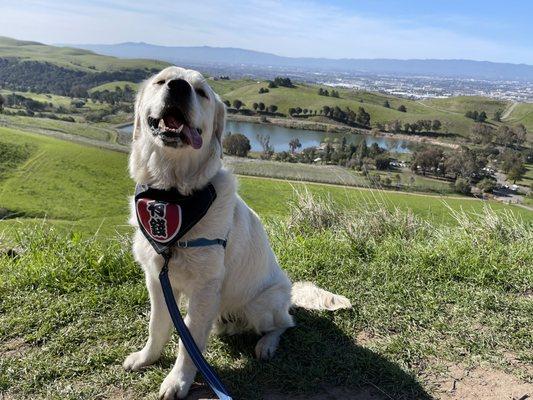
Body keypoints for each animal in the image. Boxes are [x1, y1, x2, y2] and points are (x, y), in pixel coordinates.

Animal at [122, 67, 352, 398]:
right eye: (161, 81)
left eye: (201, 92)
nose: (178, 87)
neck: (172, 194)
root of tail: (289, 292)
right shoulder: (157, 279)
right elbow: (158, 326)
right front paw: (146, 357)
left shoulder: (204, 288)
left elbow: (188, 344)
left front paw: (178, 381)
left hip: (259, 305)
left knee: (286, 323)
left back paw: (267, 344)